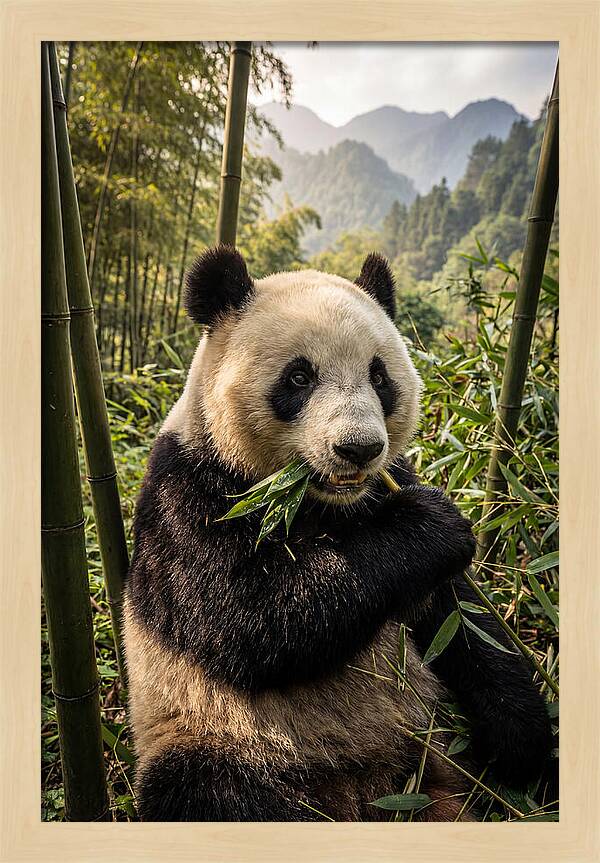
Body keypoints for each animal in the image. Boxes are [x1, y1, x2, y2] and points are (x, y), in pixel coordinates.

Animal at [123, 245, 552, 822]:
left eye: (379, 377)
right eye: (299, 378)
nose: (359, 448)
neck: (319, 503)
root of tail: (365, 792)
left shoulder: (389, 490)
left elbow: (463, 622)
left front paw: (522, 742)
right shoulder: (189, 491)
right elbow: (246, 617)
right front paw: (432, 525)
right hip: (214, 735)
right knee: (207, 793)